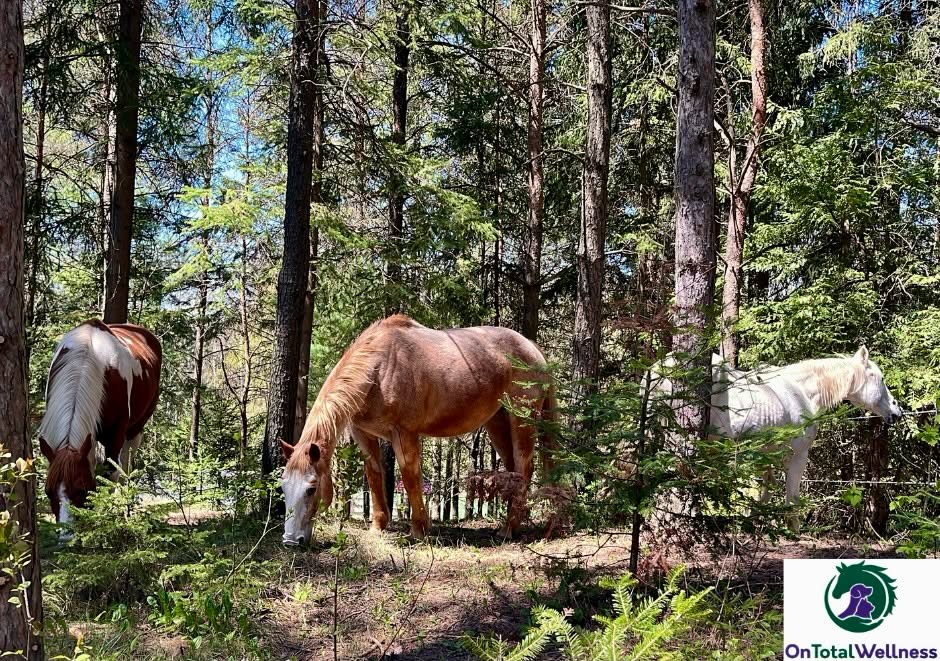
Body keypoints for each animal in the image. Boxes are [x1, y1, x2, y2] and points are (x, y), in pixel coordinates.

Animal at [37, 319, 162, 529]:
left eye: (82, 489)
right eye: (48, 491)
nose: (66, 533)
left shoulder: (115, 434)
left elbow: (109, 475)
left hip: (136, 429)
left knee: (126, 467)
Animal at [280, 314, 556, 545]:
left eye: (311, 488)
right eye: (283, 486)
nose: (291, 541)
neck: (378, 369)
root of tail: (533, 348)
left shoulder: (404, 433)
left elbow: (410, 476)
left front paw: (419, 529)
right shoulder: (363, 434)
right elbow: (374, 474)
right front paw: (378, 526)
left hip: (522, 419)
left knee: (525, 466)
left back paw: (509, 528)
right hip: (497, 422)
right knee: (512, 468)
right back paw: (512, 524)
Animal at [650, 347, 903, 531]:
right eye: (880, 378)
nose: (897, 410)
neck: (802, 391)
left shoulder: (766, 455)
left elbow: (766, 490)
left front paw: (753, 523)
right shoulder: (798, 455)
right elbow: (791, 496)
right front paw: (793, 531)